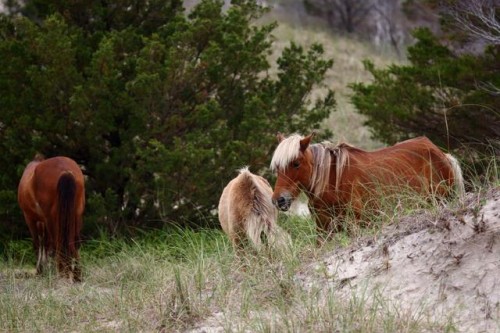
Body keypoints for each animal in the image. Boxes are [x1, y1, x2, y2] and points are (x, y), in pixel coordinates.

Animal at [270, 133, 464, 241]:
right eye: (277, 167)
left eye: (296, 163)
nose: (279, 200)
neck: (332, 182)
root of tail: (440, 153)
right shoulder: (323, 231)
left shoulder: (354, 226)